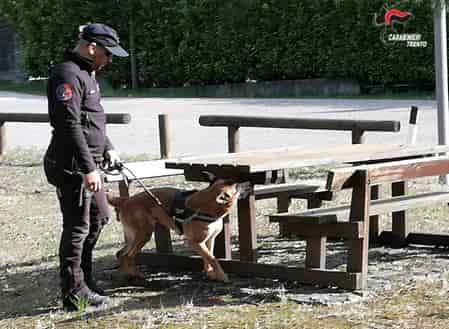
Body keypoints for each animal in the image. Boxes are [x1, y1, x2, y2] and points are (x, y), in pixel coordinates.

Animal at [106, 172, 245, 282]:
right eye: (237, 186)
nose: (247, 181)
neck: (207, 205)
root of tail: (125, 200)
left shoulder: (209, 240)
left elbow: (209, 258)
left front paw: (211, 274)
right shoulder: (195, 243)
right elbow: (212, 258)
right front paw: (222, 276)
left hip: (135, 236)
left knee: (121, 254)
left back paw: (122, 274)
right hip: (143, 234)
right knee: (128, 256)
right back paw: (135, 274)